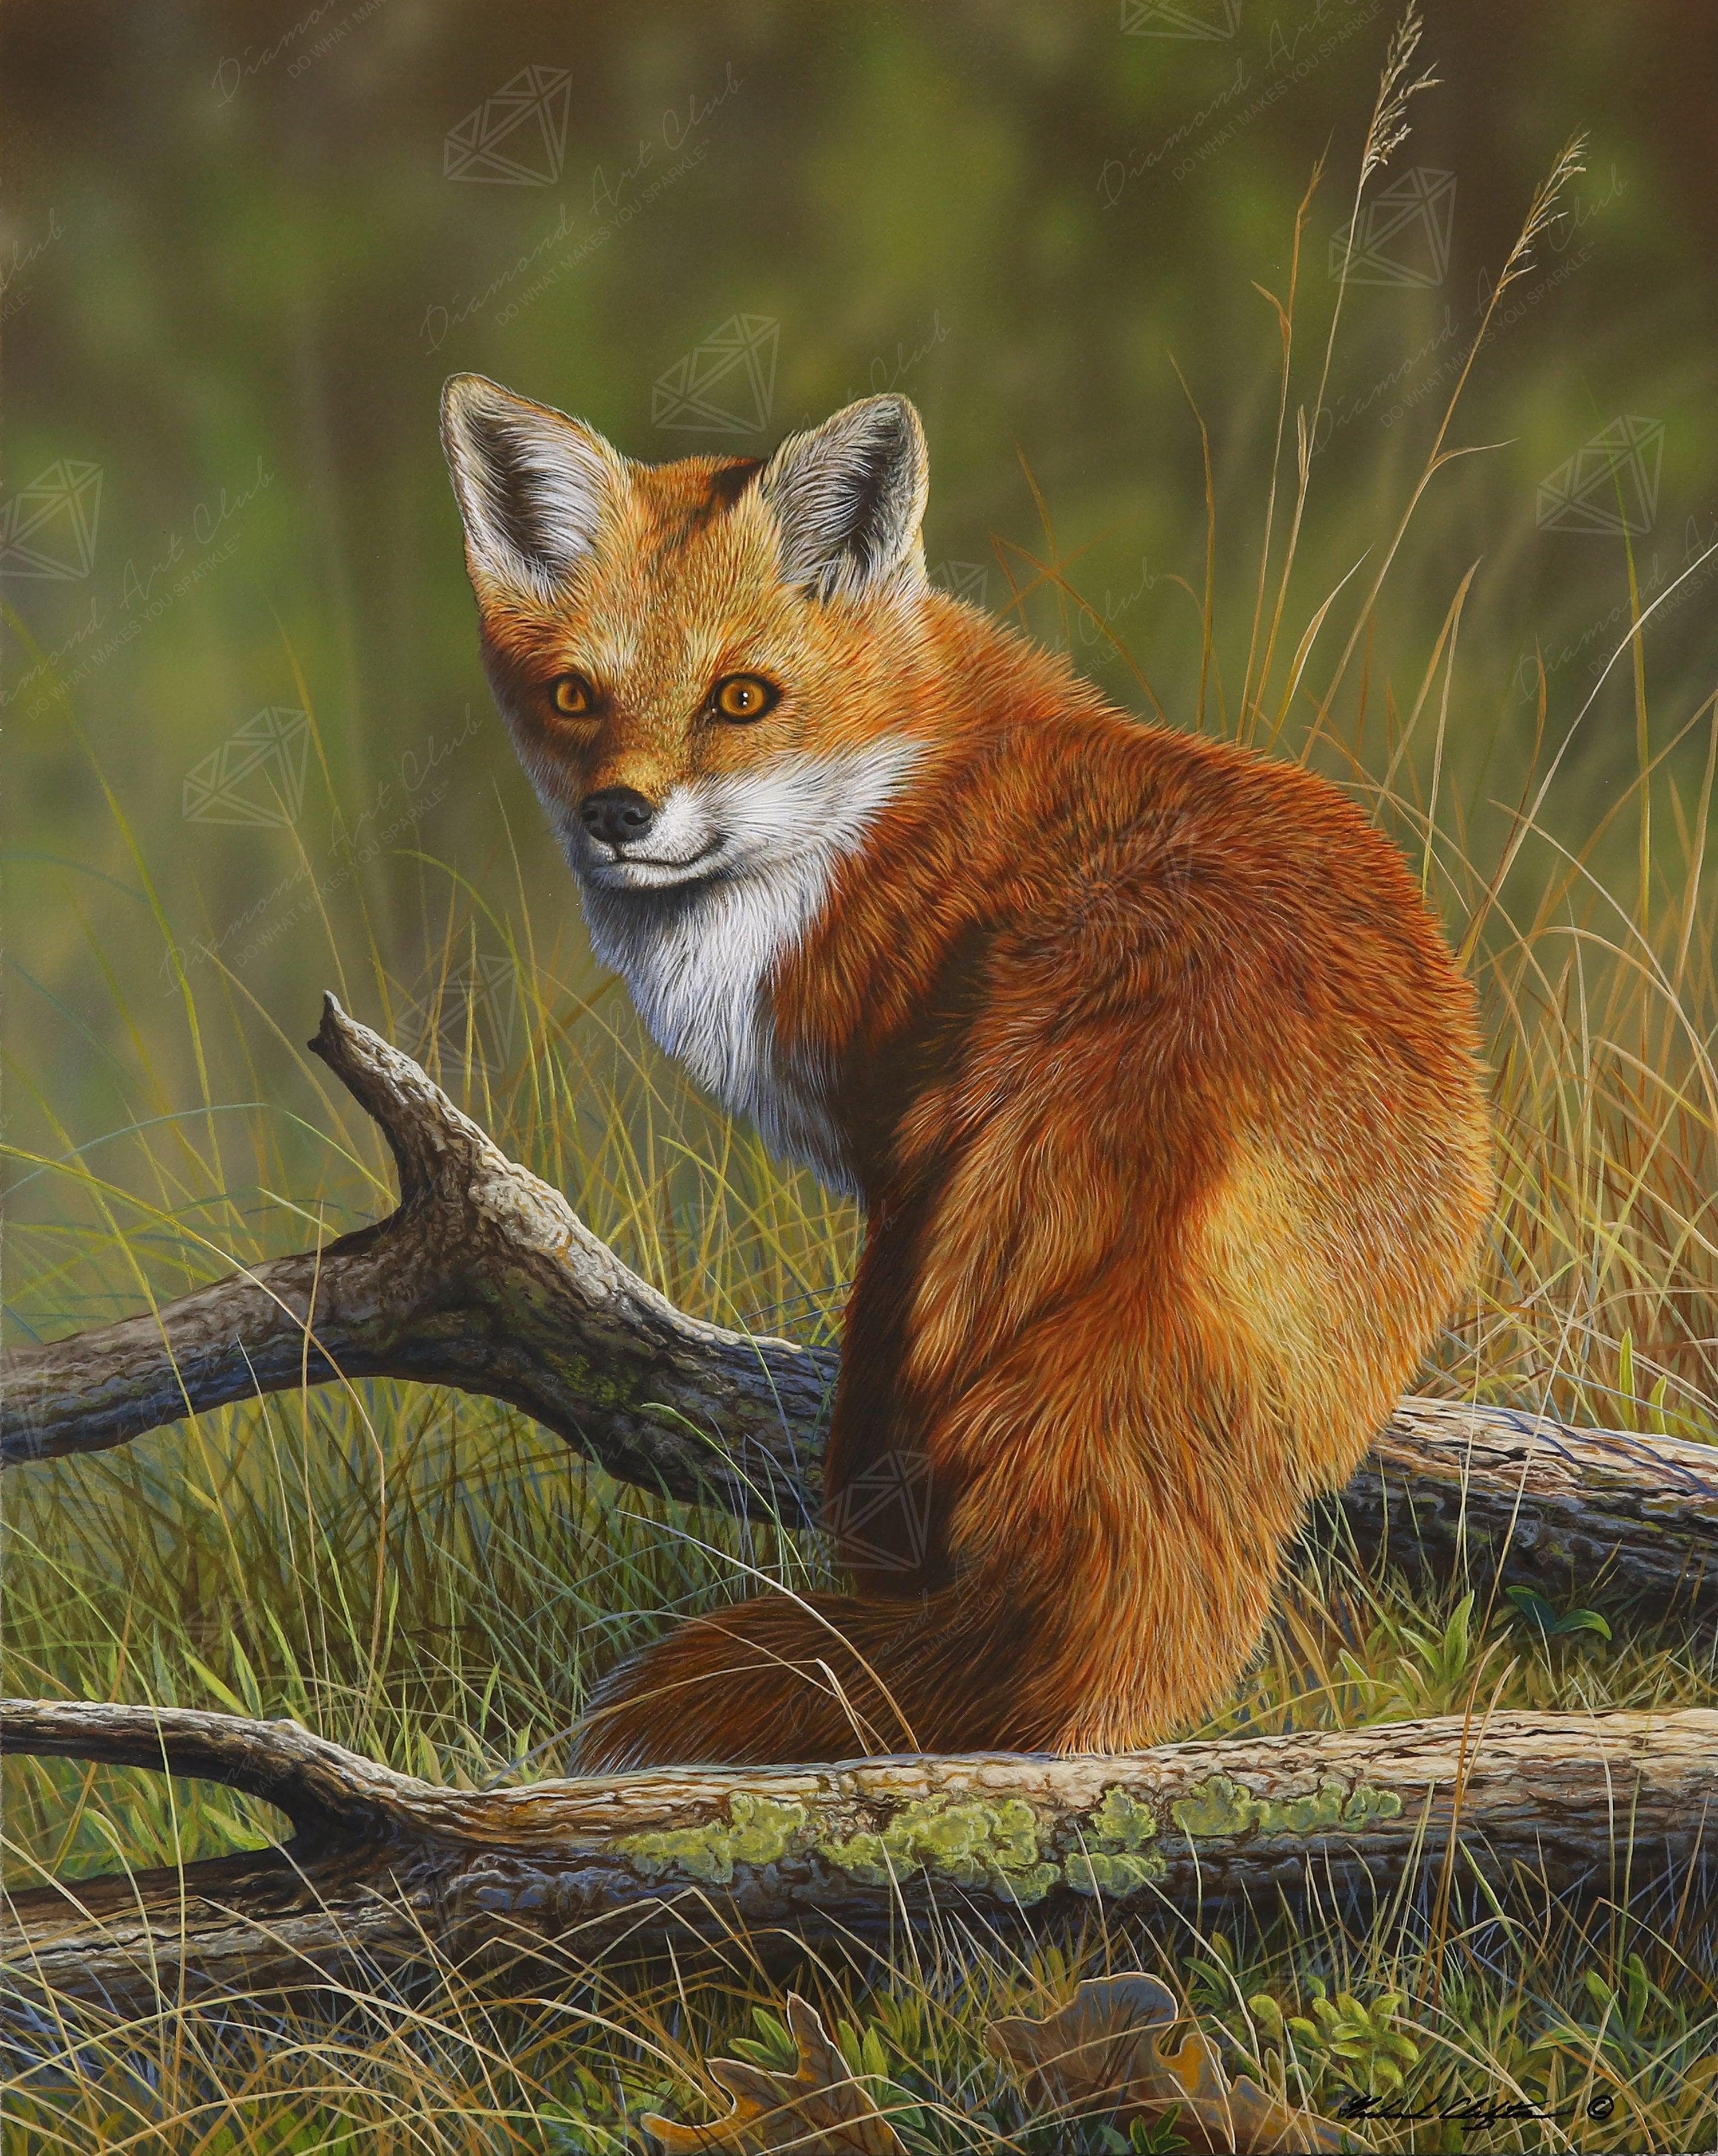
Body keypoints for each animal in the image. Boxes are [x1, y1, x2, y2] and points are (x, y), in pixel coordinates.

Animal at [441, 374, 1494, 1771]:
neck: (875, 805)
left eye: (740, 699)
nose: (619, 815)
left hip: (925, 1252)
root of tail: (1186, 1068)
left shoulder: (888, 1151)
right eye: (574, 697)